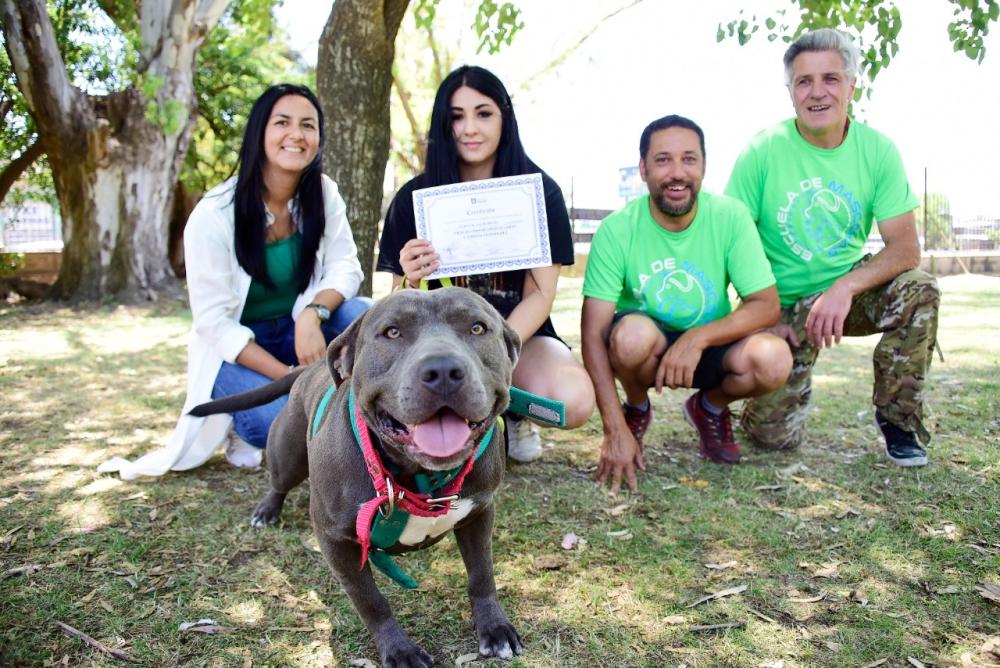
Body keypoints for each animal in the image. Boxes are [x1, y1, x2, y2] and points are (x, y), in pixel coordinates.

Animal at [191, 290, 528, 668]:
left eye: (477, 327)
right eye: (392, 332)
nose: (442, 370)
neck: (418, 476)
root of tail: (307, 369)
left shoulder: (479, 513)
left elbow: (482, 574)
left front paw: (494, 628)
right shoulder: (335, 540)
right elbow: (370, 599)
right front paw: (399, 650)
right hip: (288, 454)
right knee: (279, 481)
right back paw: (267, 511)